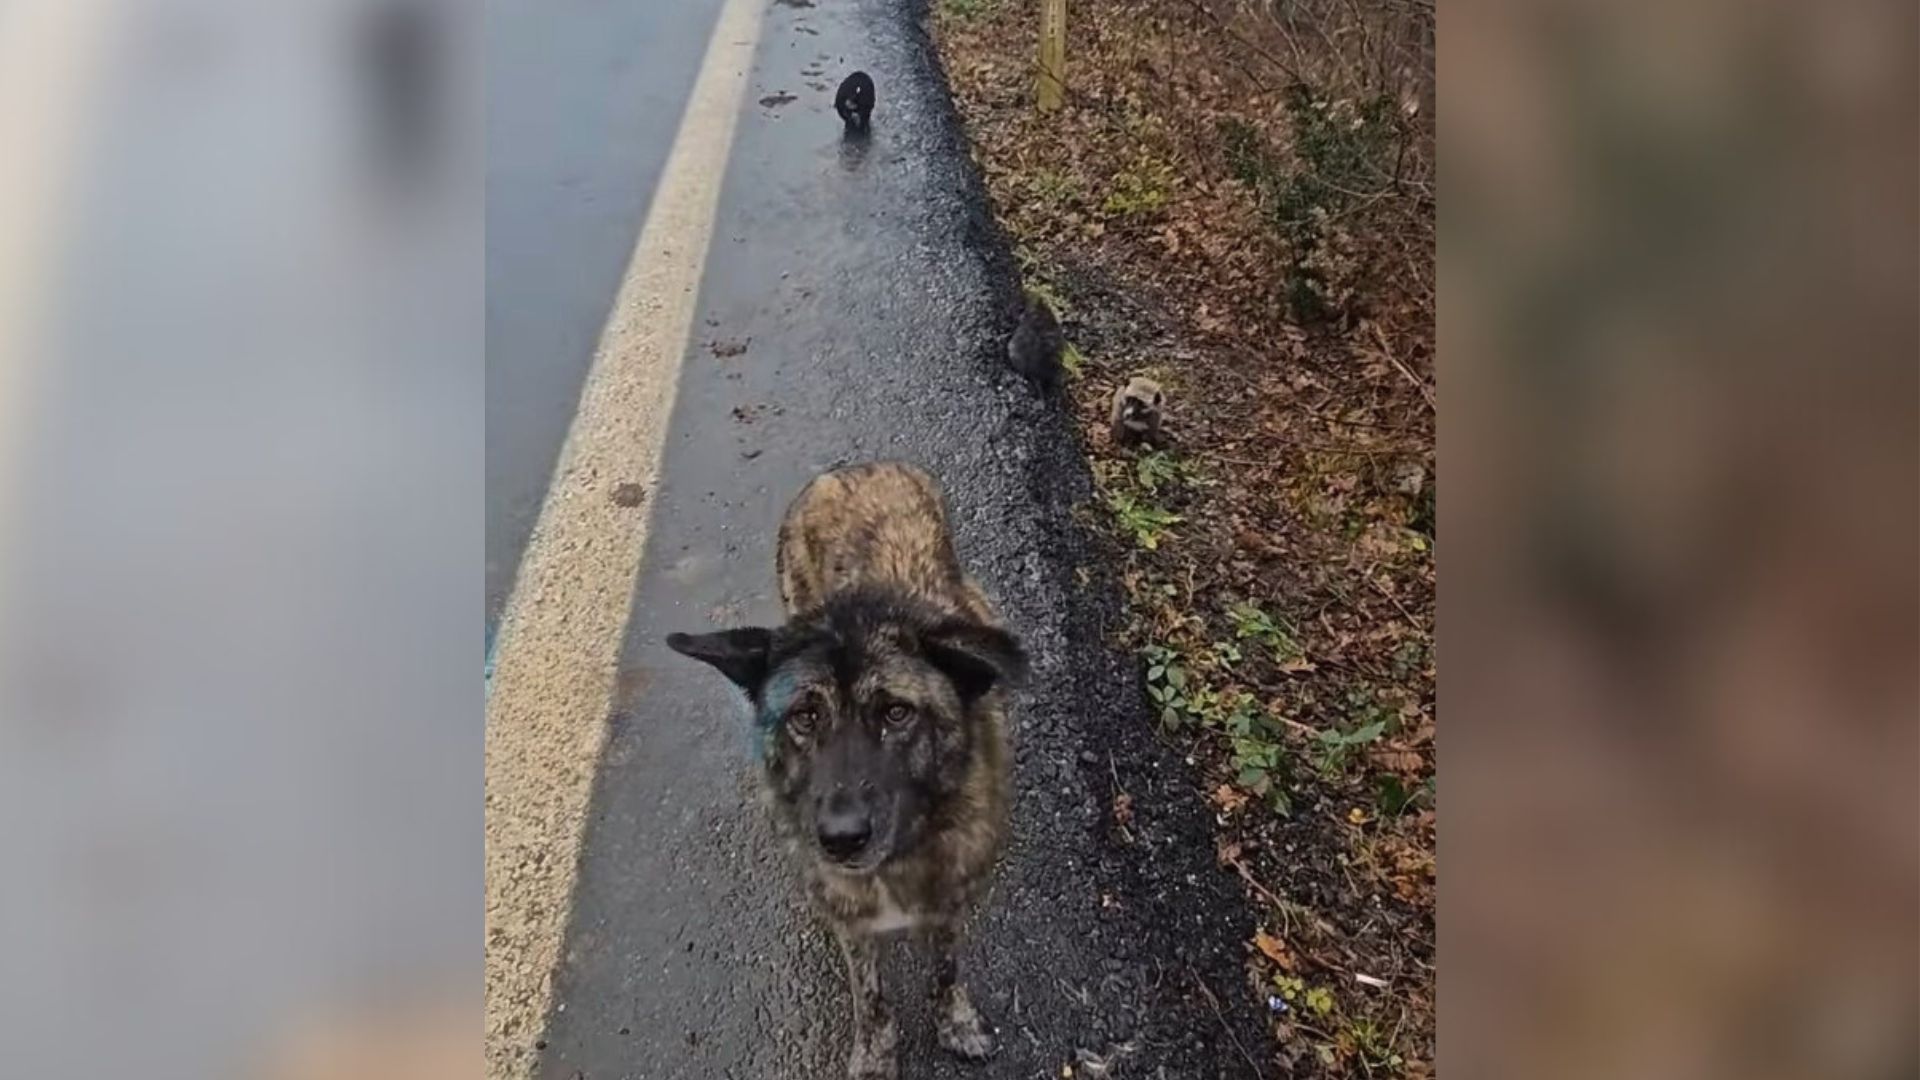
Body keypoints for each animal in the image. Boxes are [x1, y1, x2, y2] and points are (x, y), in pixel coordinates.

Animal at [664, 457, 1029, 1068]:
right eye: (805, 716)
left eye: (898, 713)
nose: (839, 839)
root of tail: (856, 467)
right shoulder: (854, 925)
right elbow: (871, 998)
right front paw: (876, 1056)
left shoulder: (950, 902)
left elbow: (947, 968)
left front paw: (954, 1021)